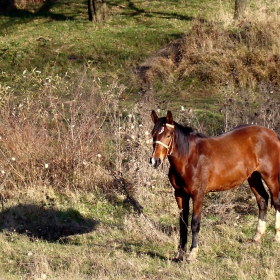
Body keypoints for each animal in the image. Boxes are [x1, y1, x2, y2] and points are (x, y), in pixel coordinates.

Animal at [150, 110, 280, 262]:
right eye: (153, 134)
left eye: (168, 135)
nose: (155, 160)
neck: (189, 158)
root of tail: (271, 134)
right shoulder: (180, 194)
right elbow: (183, 223)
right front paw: (180, 255)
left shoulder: (198, 195)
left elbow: (195, 223)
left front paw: (192, 253)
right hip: (253, 176)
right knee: (262, 199)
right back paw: (257, 236)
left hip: (270, 176)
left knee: (276, 201)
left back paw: (276, 236)